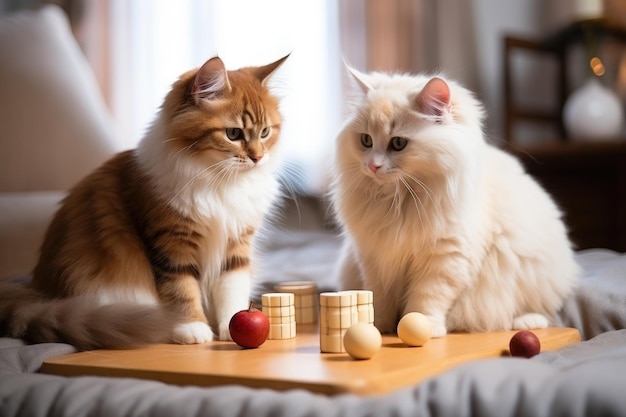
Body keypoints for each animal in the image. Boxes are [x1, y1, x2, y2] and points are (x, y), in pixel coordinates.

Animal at [0, 54, 288, 348]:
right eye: (233, 134)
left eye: (265, 132)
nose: (257, 157)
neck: (220, 181)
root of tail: (36, 292)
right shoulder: (171, 244)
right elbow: (182, 290)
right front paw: (192, 327)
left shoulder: (236, 245)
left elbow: (232, 290)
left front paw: (230, 326)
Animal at [330, 67, 576, 334]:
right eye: (366, 140)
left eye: (398, 143)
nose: (373, 166)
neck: (397, 200)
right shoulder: (373, 258)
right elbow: (379, 298)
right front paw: (379, 327)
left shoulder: (445, 257)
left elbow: (427, 299)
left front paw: (422, 328)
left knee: (539, 310)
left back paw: (526, 322)